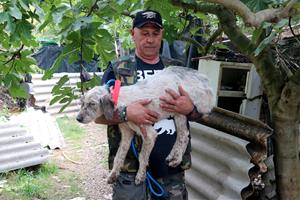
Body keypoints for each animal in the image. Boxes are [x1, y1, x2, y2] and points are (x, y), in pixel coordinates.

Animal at [76, 66, 214, 184]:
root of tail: (204, 78)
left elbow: (142, 156)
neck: (121, 102)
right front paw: (113, 175)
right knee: (183, 135)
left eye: (92, 104)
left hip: (181, 107)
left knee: (184, 135)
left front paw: (140, 176)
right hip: (177, 112)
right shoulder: (127, 134)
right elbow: (119, 156)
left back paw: (176, 159)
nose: (78, 119)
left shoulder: (149, 134)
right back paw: (174, 157)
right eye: (82, 103)